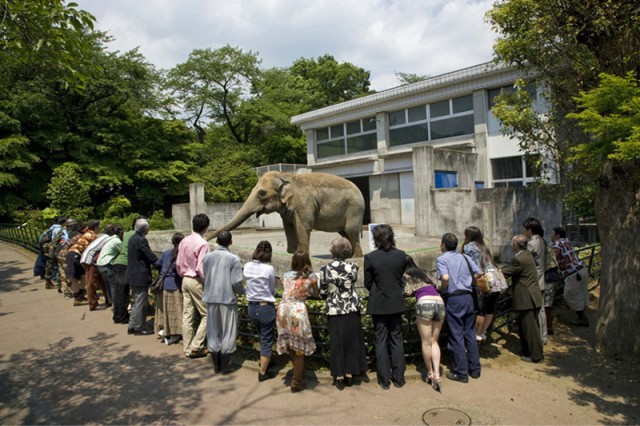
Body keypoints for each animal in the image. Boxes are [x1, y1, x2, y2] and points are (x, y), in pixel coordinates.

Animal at [205, 170, 364, 256]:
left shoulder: (304, 204)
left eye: (262, 193)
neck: (286, 176)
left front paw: (301, 255)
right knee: (345, 233)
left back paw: (354, 258)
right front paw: (292, 253)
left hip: (354, 210)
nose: (206, 240)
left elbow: (303, 227)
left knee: (351, 231)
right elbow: (288, 228)